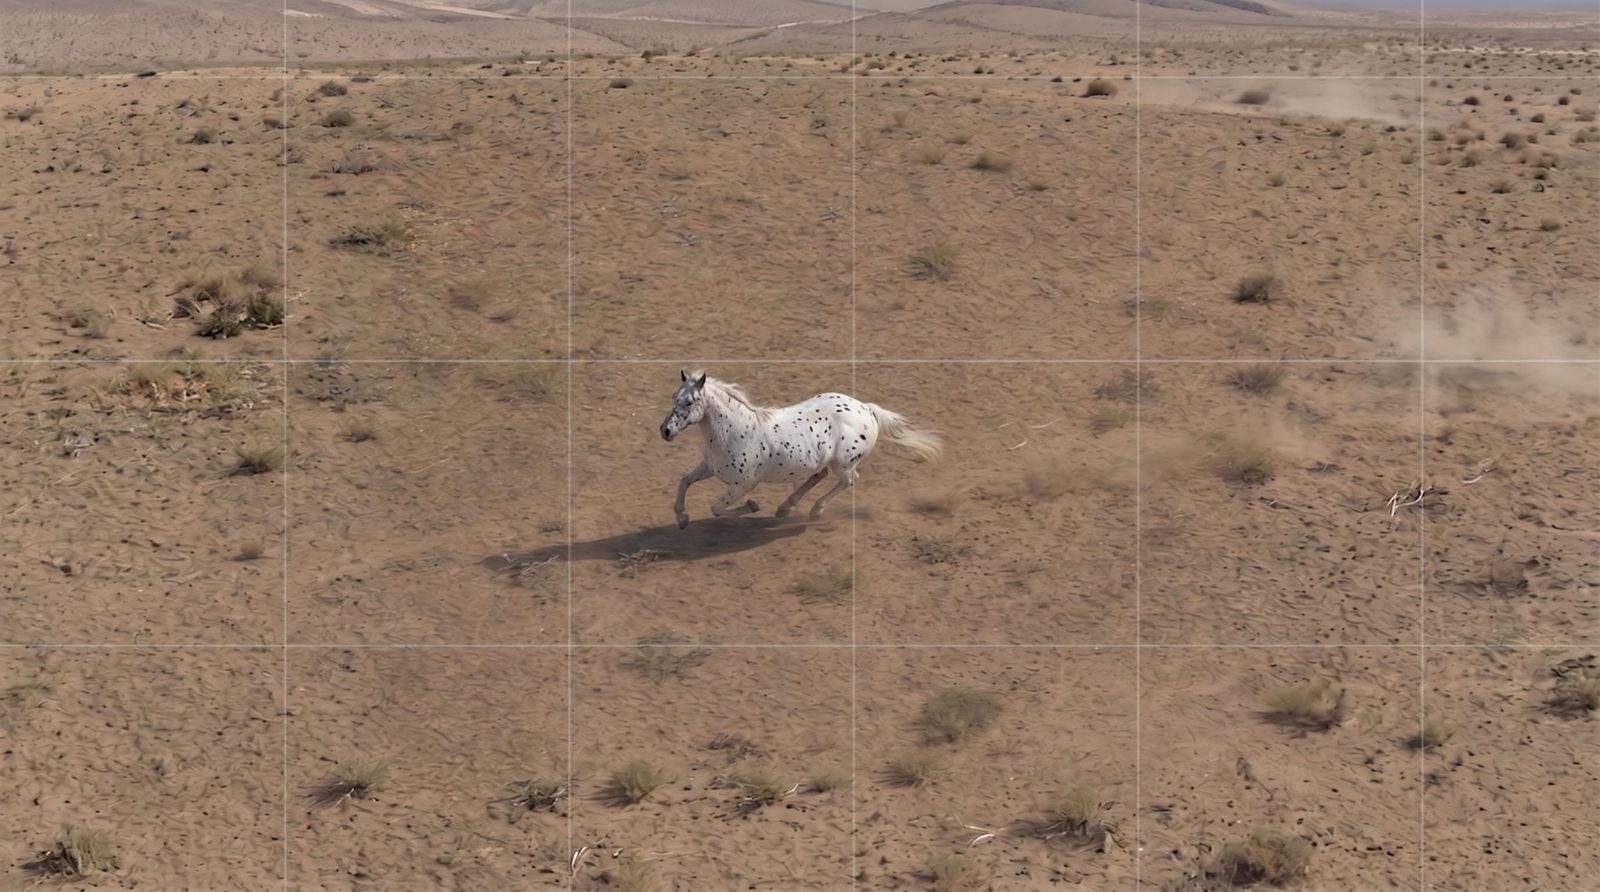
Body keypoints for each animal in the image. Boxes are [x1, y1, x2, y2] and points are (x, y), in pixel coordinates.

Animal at [660, 370, 943, 529]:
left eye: (690, 401)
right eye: (674, 397)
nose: (666, 431)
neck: (736, 430)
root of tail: (867, 409)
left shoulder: (743, 484)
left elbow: (716, 508)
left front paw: (752, 507)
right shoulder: (709, 467)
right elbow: (684, 482)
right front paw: (682, 520)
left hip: (843, 464)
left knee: (848, 480)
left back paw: (815, 511)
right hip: (822, 461)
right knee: (819, 475)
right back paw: (785, 508)